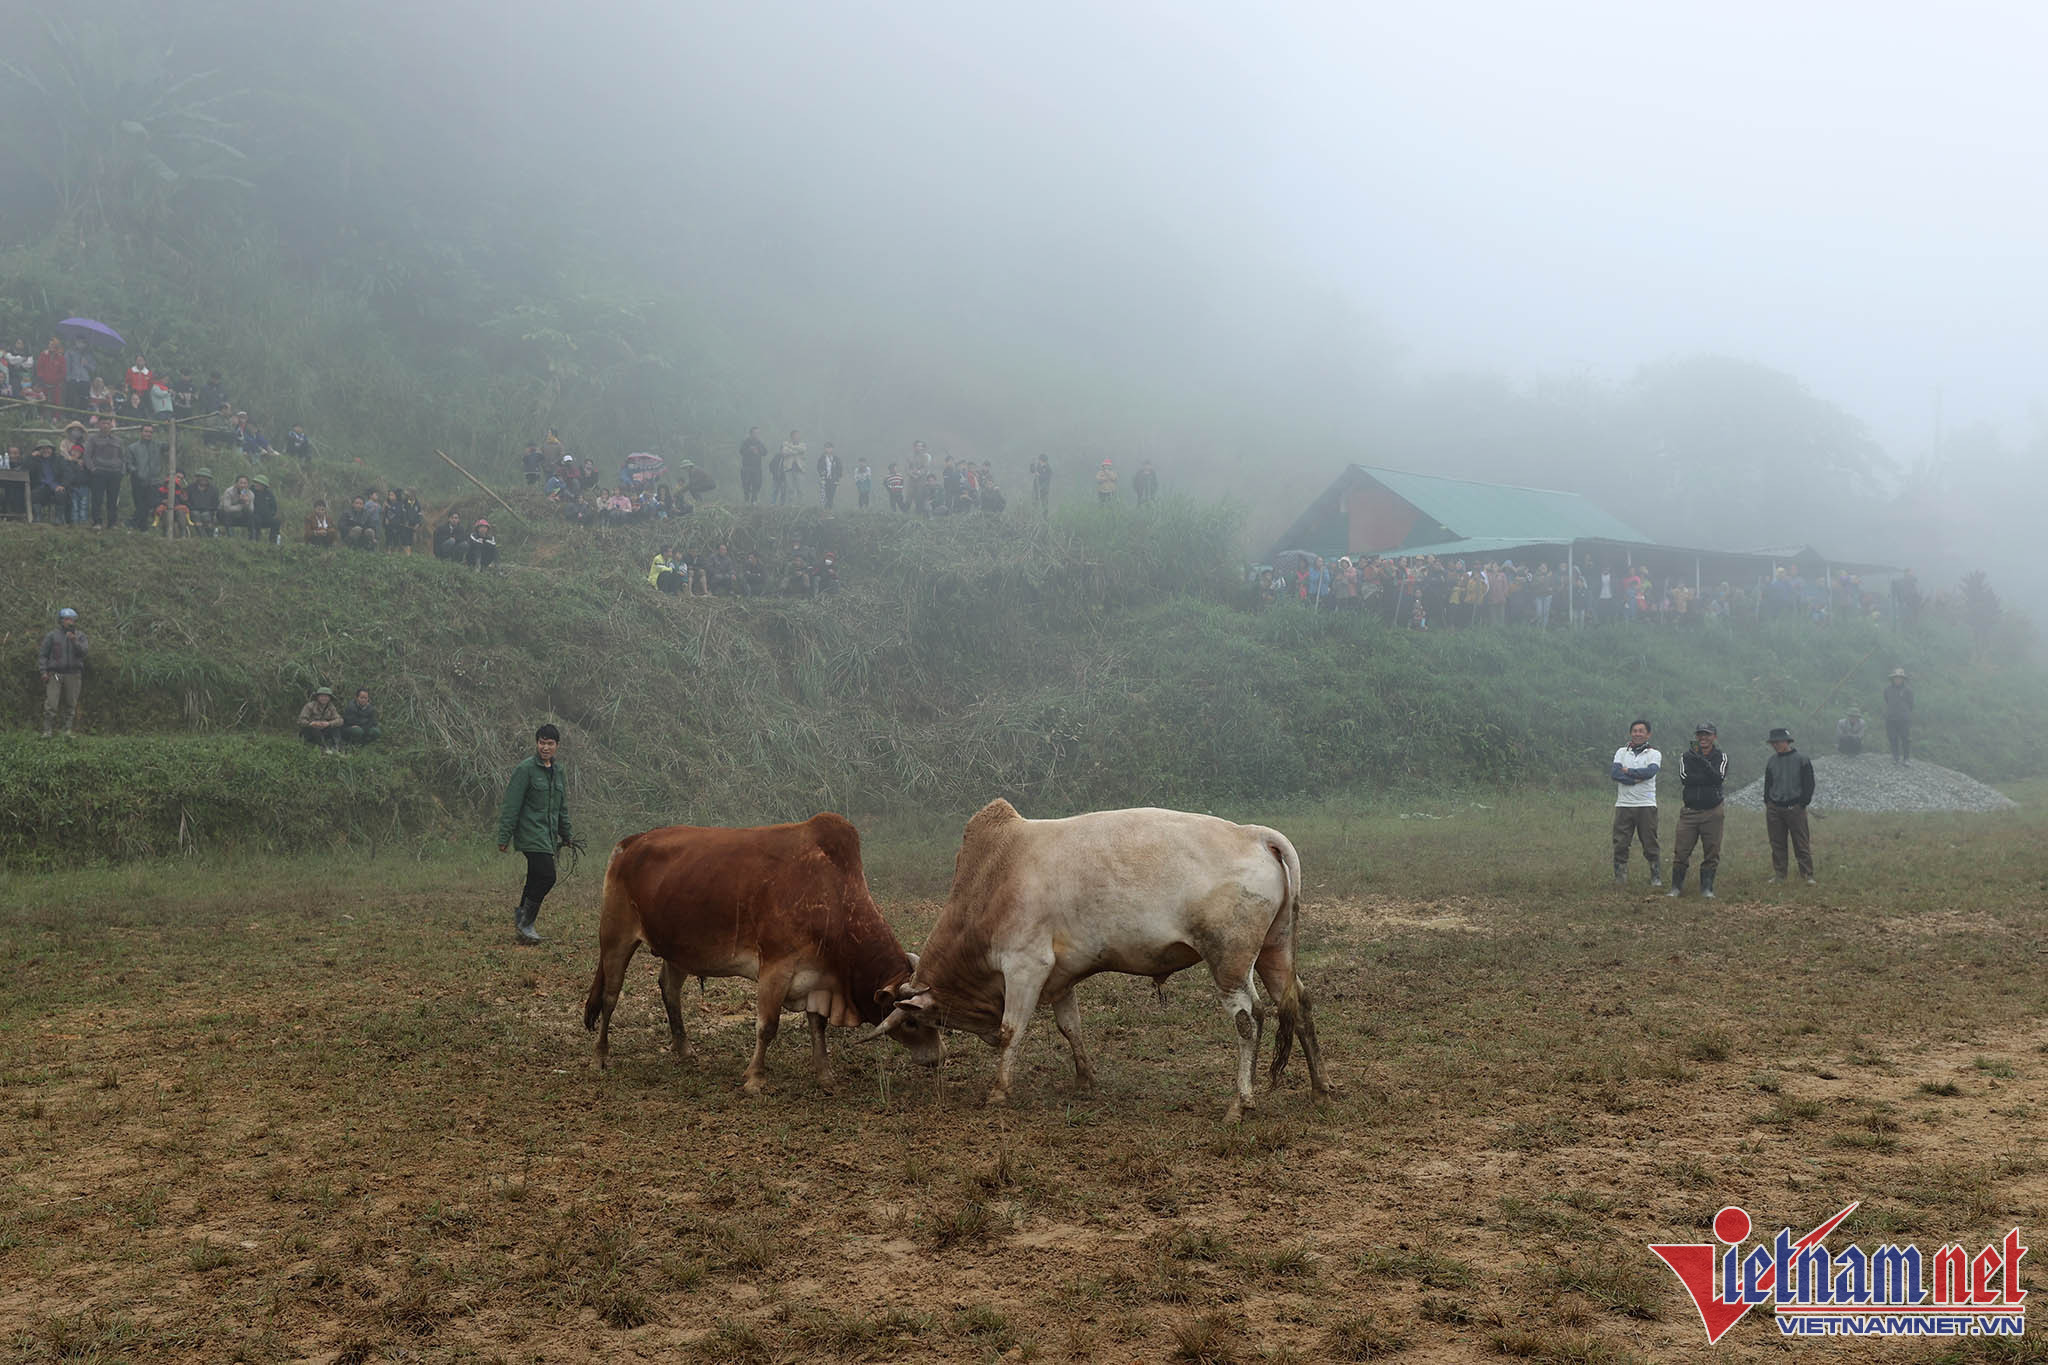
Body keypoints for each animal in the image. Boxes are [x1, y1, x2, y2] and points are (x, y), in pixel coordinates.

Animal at [582, 814, 943, 1092]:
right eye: (911, 1023)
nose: (938, 1057)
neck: (831, 897)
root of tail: (632, 842)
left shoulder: (817, 977)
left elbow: (818, 1027)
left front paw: (825, 1075)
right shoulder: (775, 968)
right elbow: (767, 1026)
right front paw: (754, 1078)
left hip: (677, 949)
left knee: (670, 990)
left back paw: (684, 1049)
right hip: (615, 936)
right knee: (610, 996)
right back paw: (600, 1055)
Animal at [867, 800, 1329, 1120]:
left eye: (911, 1024)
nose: (932, 1062)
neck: (994, 878)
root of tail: (1254, 834)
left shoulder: (1025, 966)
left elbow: (1011, 1030)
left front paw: (998, 1090)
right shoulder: (1060, 978)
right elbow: (1070, 1028)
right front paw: (1085, 1080)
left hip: (1229, 961)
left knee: (1250, 1018)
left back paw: (1240, 1102)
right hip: (1274, 952)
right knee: (1299, 1003)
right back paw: (1320, 1088)